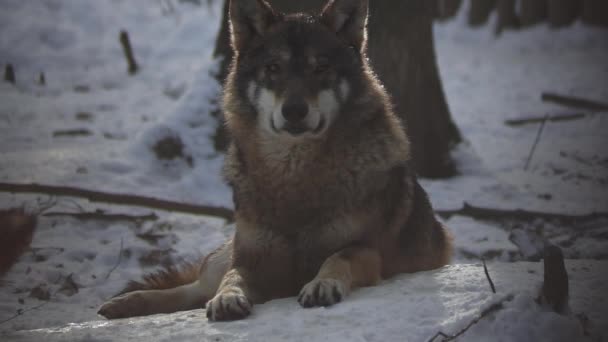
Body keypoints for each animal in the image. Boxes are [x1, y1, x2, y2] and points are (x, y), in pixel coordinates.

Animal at [98, 0, 452, 320]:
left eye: (320, 68)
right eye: (273, 69)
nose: (294, 110)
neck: (292, 174)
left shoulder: (368, 250)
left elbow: (338, 257)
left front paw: (321, 285)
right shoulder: (252, 261)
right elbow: (232, 278)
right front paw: (227, 299)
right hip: (224, 255)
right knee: (194, 289)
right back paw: (124, 304)